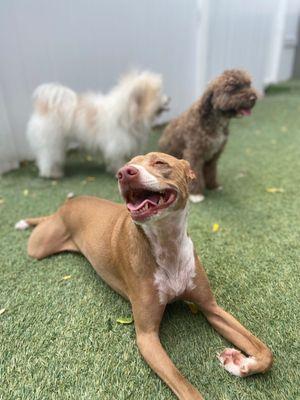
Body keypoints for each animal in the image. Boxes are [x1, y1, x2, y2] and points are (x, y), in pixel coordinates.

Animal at [17, 152, 274, 398]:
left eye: (160, 162)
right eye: (127, 163)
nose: (123, 173)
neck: (167, 244)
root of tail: (68, 204)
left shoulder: (211, 308)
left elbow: (266, 353)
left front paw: (239, 362)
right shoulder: (146, 336)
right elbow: (187, 389)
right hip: (39, 246)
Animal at [27, 71, 170, 177]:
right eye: (158, 94)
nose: (169, 98)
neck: (129, 114)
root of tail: (44, 106)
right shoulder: (116, 145)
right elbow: (118, 158)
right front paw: (119, 169)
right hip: (52, 140)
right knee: (47, 156)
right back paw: (51, 173)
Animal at [159, 69, 258, 203]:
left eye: (248, 85)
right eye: (232, 87)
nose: (253, 98)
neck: (217, 119)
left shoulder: (215, 154)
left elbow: (211, 170)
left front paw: (213, 186)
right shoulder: (194, 153)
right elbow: (195, 170)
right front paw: (196, 194)